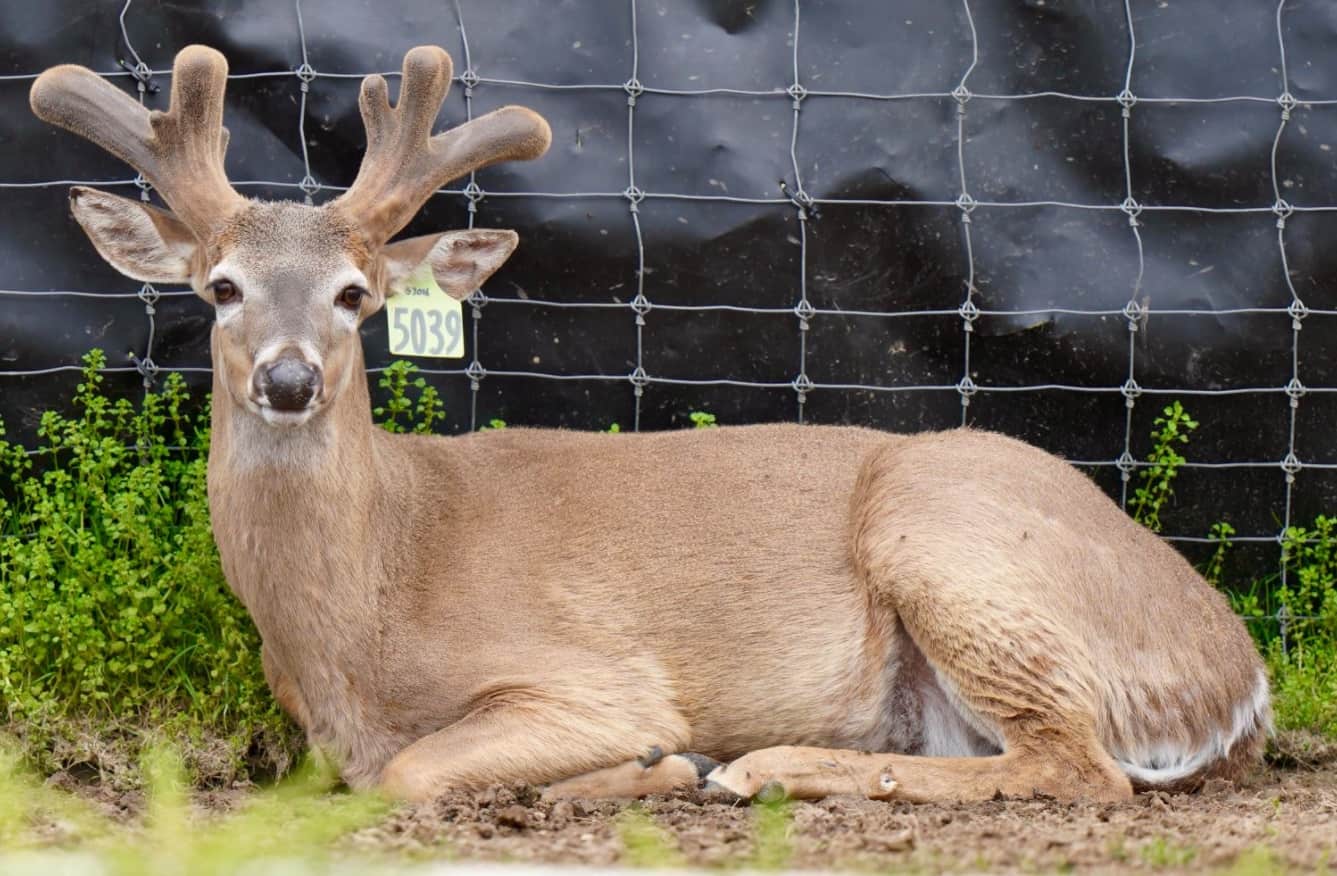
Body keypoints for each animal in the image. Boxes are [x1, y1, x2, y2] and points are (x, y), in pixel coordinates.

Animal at [30, 43, 1271, 806]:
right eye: (221, 288)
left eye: (354, 294)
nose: (288, 381)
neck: (365, 605)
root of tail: (1240, 678)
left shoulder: (591, 675)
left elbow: (411, 776)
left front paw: (655, 766)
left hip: (947, 532)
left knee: (1079, 766)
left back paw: (758, 766)